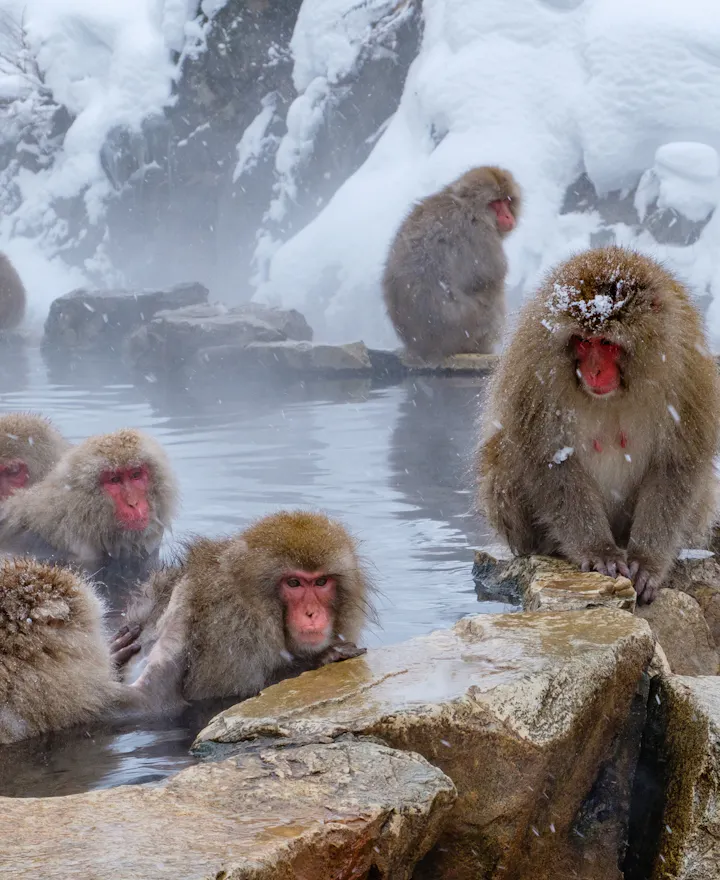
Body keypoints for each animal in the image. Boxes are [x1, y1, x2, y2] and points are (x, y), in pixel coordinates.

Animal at [120, 510, 374, 711]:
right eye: (294, 583)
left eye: (321, 582)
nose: (311, 613)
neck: (255, 604)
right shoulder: (232, 627)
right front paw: (324, 657)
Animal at [382, 165, 521, 363]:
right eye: (495, 203)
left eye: (506, 201)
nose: (509, 217)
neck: (467, 206)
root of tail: (422, 349)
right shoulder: (480, 234)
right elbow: (489, 275)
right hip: (470, 328)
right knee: (493, 293)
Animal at [476, 246, 720, 605]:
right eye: (582, 341)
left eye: (606, 343)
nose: (593, 371)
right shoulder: (535, 366)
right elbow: (549, 460)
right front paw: (599, 551)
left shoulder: (687, 369)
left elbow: (676, 464)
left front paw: (647, 562)